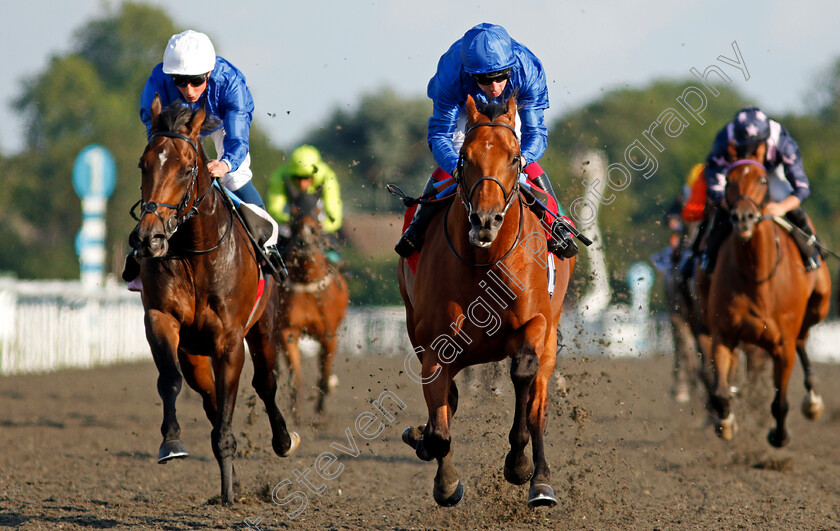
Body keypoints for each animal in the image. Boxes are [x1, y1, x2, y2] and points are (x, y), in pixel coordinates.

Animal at [131, 97, 298, 504]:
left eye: (187, 168)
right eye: (144, 163)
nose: (149, 238)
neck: (194, 253)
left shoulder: (229, 341)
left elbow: (233, 404)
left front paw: (229, 492)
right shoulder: (160, 319)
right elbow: (169, 380)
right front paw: (172, 442)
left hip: (264, 328)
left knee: (265, 383)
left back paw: (283, 440)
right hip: (194, 353)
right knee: (207, 396)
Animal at [276, 187, 348, 416]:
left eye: (318, 210)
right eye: (293, 210)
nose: (304, 241)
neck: (307, 280)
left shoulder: (329, 335)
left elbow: (324, 376)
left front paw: (320, 411)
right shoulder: (288, 331)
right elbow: (295, 379)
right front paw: (296, 413)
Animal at [398, 94, 576, 508]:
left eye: (514, 158)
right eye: (465, 156)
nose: (485, 220)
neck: (485, 261)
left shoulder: (536, 324)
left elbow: (523, 374)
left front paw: (519, 464)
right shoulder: (435, 344)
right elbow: (441, 423)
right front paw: (445, 480)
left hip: (549, 340)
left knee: (538, 405)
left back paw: (541, 481)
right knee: (448, 400)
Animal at [700, 160, 832, 446]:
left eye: (762, 180)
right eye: (729, 179)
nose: (743, 217)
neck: (757, 276)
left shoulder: (783, 346)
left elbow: (780, 403)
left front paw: (779, 436)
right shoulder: (723, 334)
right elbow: (721, 393)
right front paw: (726, 423)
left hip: (819, 305)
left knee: (802, 338)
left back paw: (813, 400)